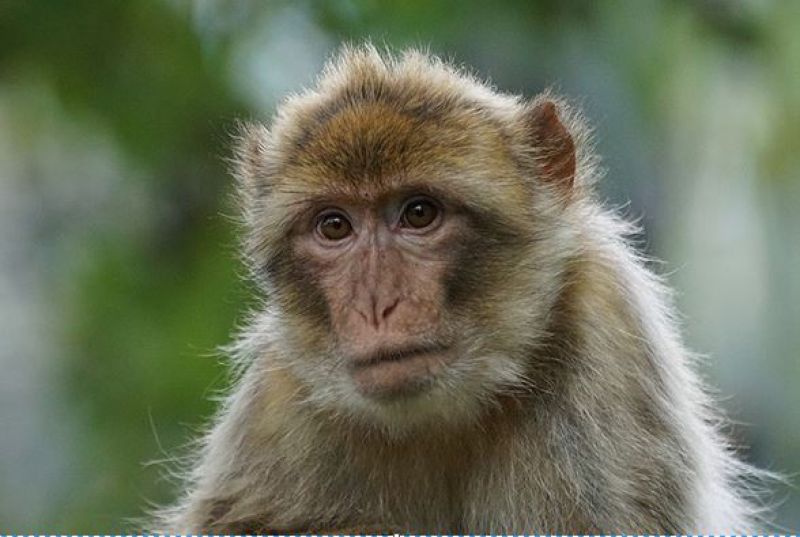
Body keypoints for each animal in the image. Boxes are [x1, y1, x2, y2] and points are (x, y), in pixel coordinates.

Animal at [151, 44, 768, 533]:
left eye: (419, 213)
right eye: (334, 226)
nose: (377, 305)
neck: (450, 419)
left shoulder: (609, 336)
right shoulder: (278, 402)